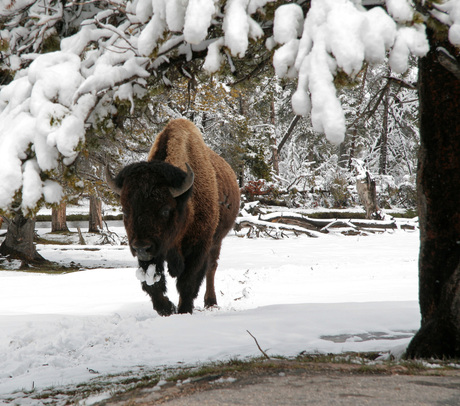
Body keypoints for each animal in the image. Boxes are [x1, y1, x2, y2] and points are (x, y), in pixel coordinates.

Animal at [105, 119, 239, 316]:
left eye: (166, 210)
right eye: (125, 211)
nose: (141, 248)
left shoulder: (198, 248)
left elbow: (187, 283)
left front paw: (183, 311)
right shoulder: (153, 253)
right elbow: (153, 283)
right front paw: (167, 308)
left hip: (217, 241)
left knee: (211, 269)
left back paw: (211, 302)